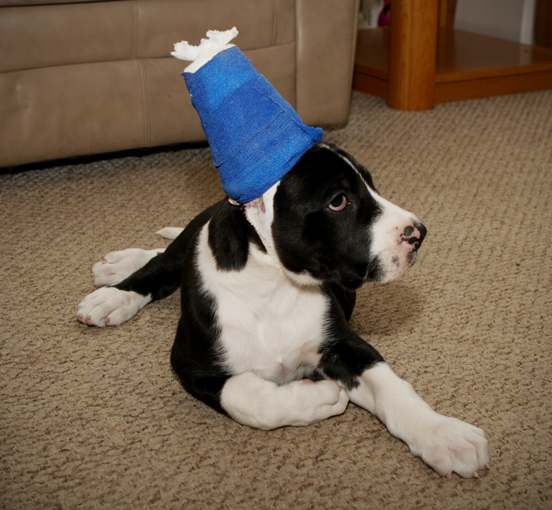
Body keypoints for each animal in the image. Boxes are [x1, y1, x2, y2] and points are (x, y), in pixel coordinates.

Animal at [76, 142, 488, 478]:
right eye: (338, 201)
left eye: (371, 184)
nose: (419, 234)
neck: (271, 287)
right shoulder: (190, 365)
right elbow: (246, 397)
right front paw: (316, 398)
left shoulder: (343, 344)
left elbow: (392, 388)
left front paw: (442, 435)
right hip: (193, 234)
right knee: (164, 262)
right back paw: (114, 290)